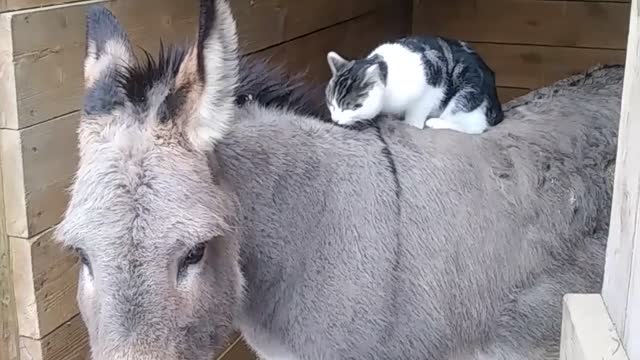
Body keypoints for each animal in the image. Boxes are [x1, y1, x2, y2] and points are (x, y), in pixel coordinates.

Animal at [324, 36, 504, 134]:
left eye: (349, 107)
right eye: (331, 105)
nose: (335, 119)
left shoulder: (433, 86)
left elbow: (416, 115)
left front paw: (411, 125)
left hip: (466, 92)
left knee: (476, 126)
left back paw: (436, 122)